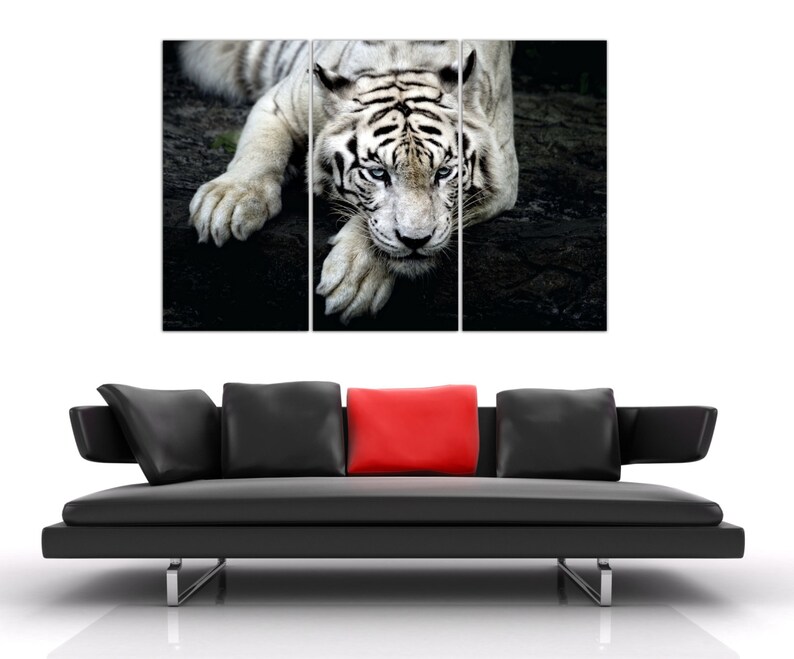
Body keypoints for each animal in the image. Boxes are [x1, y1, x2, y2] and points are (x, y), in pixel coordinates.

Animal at [180, 40, 518, 323]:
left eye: (443, 173)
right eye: (378, 173)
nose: (416, 241)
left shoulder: (502, 177)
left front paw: (356, 277)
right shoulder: (279, 103)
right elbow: (260, 150)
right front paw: (227, 203)